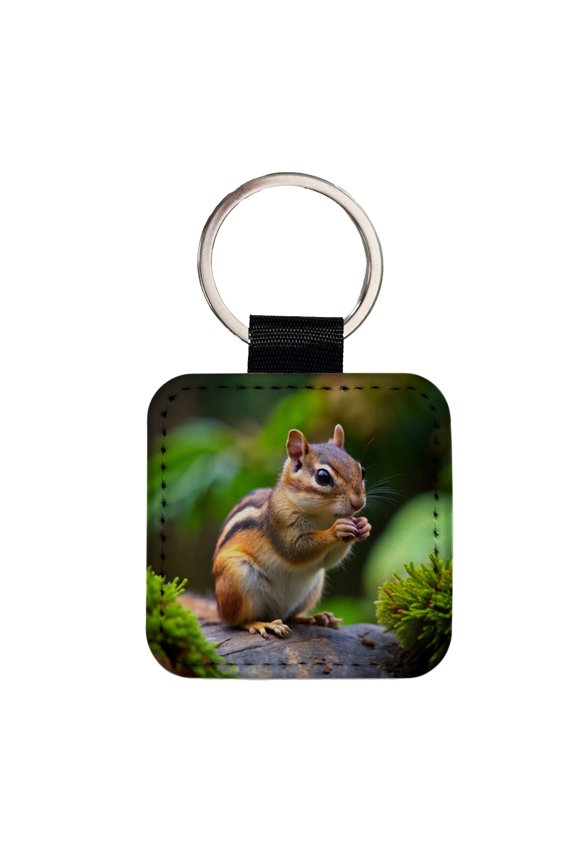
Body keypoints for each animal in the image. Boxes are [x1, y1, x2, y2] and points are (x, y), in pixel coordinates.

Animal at [213, 424, 372, 638]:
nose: (358, 503)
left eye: (362, 470)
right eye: (323, 477)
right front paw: (337, 529)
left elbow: (329, 561)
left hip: (314, 587)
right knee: (237, 622)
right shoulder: (280, 523)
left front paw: (364, 525)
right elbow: (295, 550)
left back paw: (316, 617)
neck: (322, 516)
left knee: (291, 616)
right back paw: (262, 624)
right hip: (237, 578)